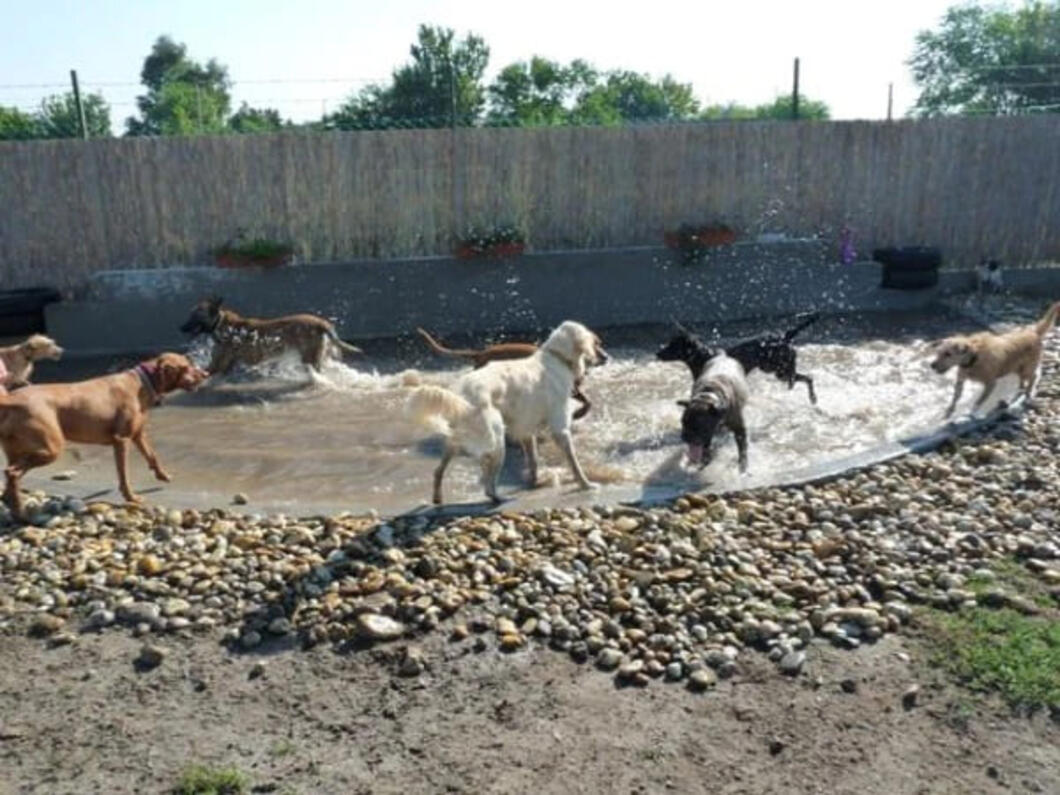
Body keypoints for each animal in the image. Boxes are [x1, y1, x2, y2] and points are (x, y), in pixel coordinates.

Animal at [180, 296, 362, 377]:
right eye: (189, 314)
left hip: (309, 357)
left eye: (195, 316)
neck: (222, 323)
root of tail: (321, 323)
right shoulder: (225, 366)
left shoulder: (217, 365)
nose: (181, 328)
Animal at [402, 322, 606, 504]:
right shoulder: (560, 429)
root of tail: (461, 393)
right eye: (596, 343)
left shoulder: (526, 431)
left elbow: (533, 460)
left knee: (439, 471)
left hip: (458, 440)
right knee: (487, 483)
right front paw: (586, 485)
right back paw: (498, 498)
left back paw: (438, 498)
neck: (555, 357)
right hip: (496, 440)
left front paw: (534, 482)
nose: (607, 357)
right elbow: (574, 462)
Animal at [652, 313, 818, 404]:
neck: (704, 357)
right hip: (778, 369)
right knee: (807, 377)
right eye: (669, 343)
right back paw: (812, 397)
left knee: (797, 375)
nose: (657, 354)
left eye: (672, 346)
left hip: (776, 368)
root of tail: (784, 336)